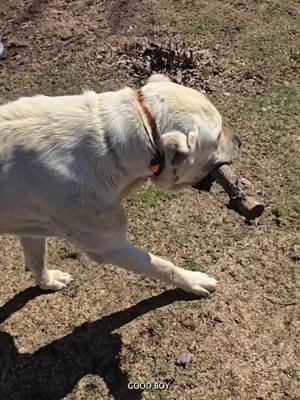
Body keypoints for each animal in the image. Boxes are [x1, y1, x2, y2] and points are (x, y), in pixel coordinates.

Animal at [0, 73, 239, 296]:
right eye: (218, 135)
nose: (238, 140)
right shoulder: (109, 247)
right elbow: (161, 265)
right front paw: (194, 280)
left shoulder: (31, 226)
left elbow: (36, 259)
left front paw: (47, 282)